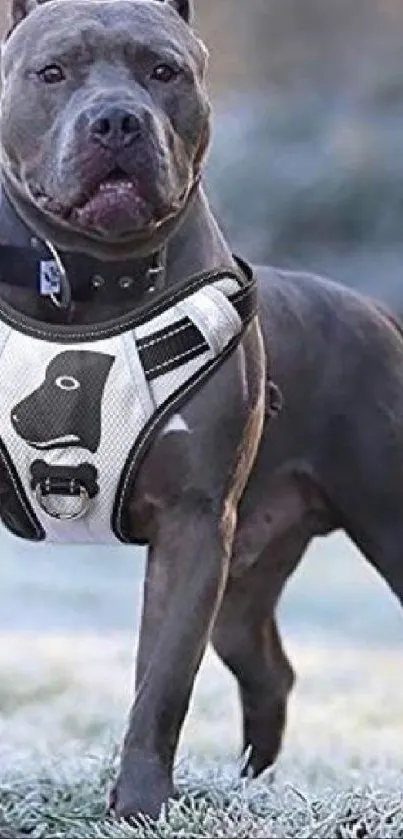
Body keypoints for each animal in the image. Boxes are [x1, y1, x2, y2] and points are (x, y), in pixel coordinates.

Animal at [0, 0, 403, 832]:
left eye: (164, 71)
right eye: (52, 72)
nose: (117, 119)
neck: (92, 284)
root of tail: (374, 309)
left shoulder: (191, 529)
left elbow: (160, 684)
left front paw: (139, 807)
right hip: (245, 580)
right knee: (271, 671)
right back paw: (250, 788)